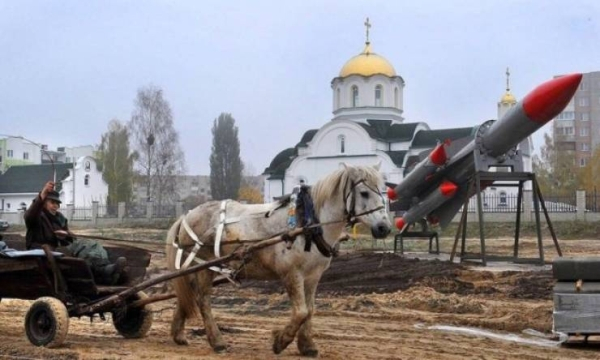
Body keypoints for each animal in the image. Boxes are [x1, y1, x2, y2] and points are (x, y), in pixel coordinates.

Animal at [165, 165, 390, 356]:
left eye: (384, 192)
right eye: (364, 193)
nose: (384, 228)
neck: (308, 224)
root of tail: (187, 215)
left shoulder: (313, 276)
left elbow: (310, 310)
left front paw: (307, 345)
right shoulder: (292, 274)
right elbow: (300, 312)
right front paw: (280, 341)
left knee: (187, 296)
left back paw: (178, 334)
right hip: (205, 267)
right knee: (202, 300)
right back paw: (217, 341)